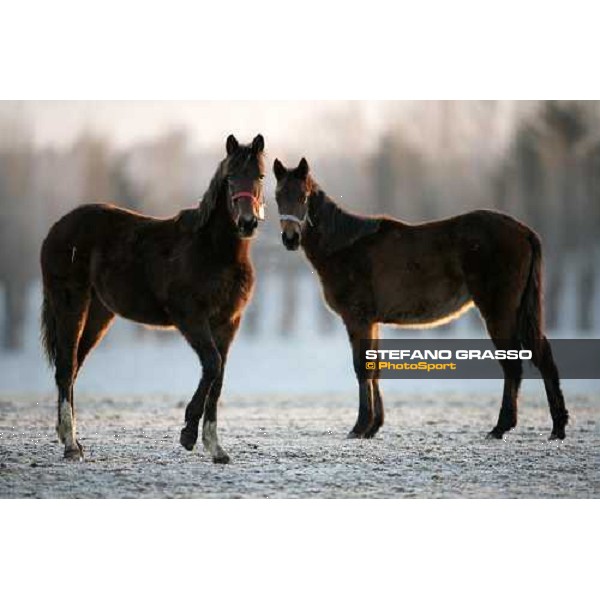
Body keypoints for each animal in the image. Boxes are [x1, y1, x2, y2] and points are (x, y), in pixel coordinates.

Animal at [41, 134, 266, 462]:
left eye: (260, 176)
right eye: (230, 177)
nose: (247, 223)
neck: (213, 251)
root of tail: (56, 229)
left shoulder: (228, 323)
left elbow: (219, 378)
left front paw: (216, 448)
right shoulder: (190, 317)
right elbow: (212, 365)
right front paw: (188, 434)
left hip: (98, 314)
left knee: (73, 367)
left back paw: (69, 438)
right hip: (70, 303)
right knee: (65, 367)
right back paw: (71, 445)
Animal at [274, 157, 568, 440]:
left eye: (303, 196)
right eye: (278, 196)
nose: (290, 238)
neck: (346, 246)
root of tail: (524, 231)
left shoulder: (358, 319)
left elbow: (363, 368)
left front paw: (359, 426)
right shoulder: (372, 322)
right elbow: (376, 368)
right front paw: (374, 426)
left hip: (499, 311)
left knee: (513, 365)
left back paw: (501, 427)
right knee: (542, 356)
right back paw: (557, 426)